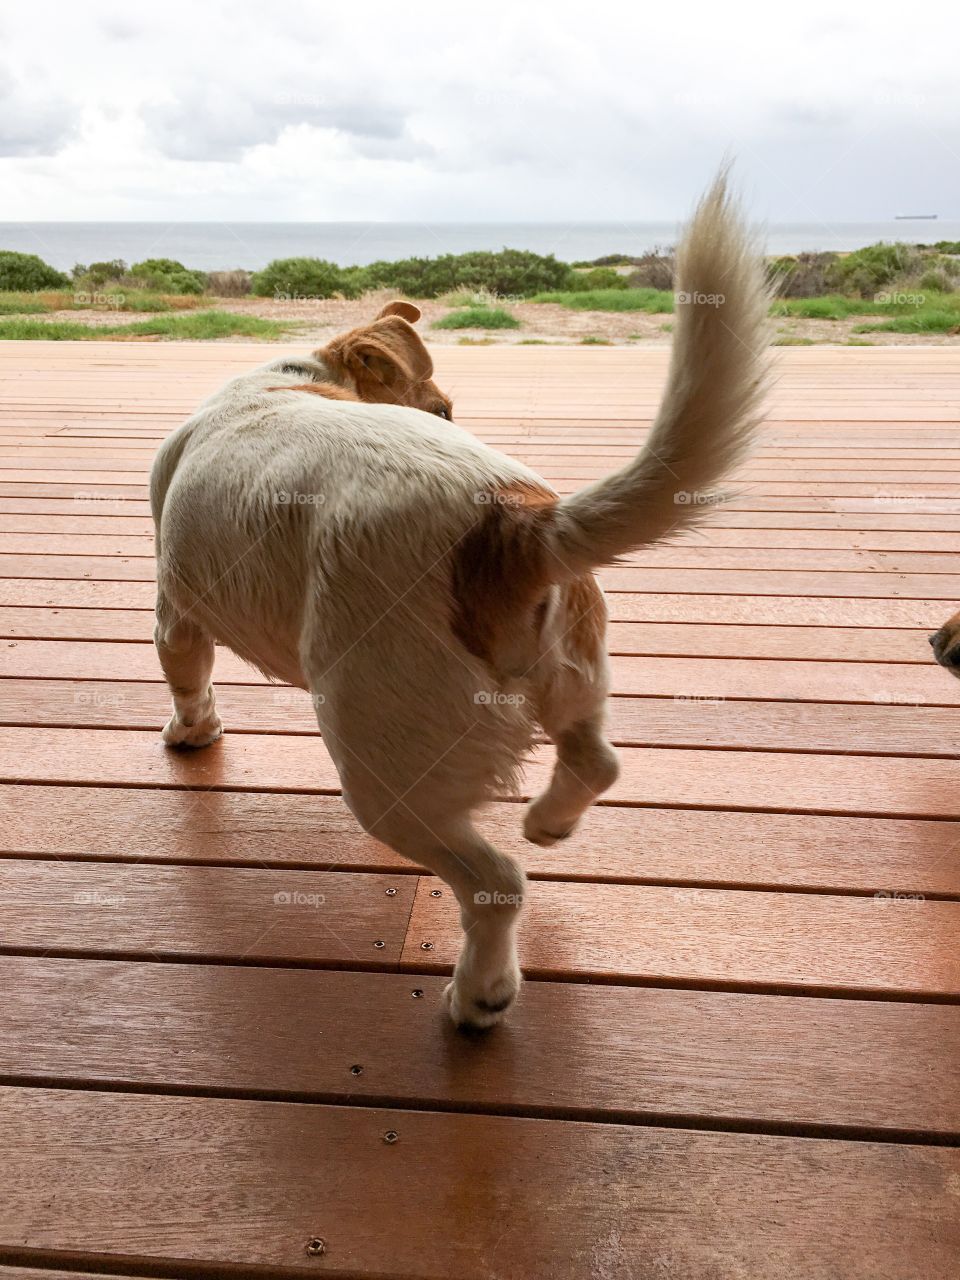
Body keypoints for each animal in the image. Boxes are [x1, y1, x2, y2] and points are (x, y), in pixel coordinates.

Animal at [150, 172, 773, 1029]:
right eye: (443, 407)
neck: (295, 377)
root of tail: (514, 525)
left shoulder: (175, 608)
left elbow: (187, 678)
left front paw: (192, 733)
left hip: (385, 770)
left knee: (496, 883)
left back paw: (480, 995)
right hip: (573, 677)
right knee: (595, 763)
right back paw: (549, 821)